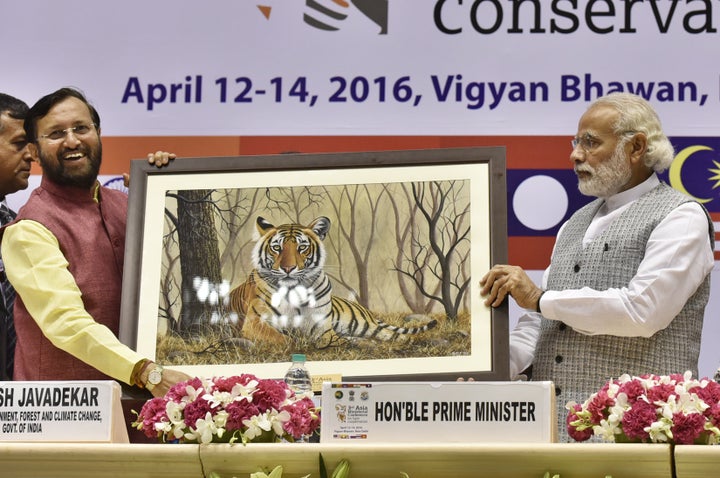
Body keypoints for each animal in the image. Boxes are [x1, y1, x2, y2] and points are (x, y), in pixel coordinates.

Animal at [228, 217, 436, 348]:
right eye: (277, 248)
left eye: (302, 247)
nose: (288, 268)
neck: (295, 291)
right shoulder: (255, 322)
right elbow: (283, 338)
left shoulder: (321, 326)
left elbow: (326, 337)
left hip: (365, 325)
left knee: (396, 336)